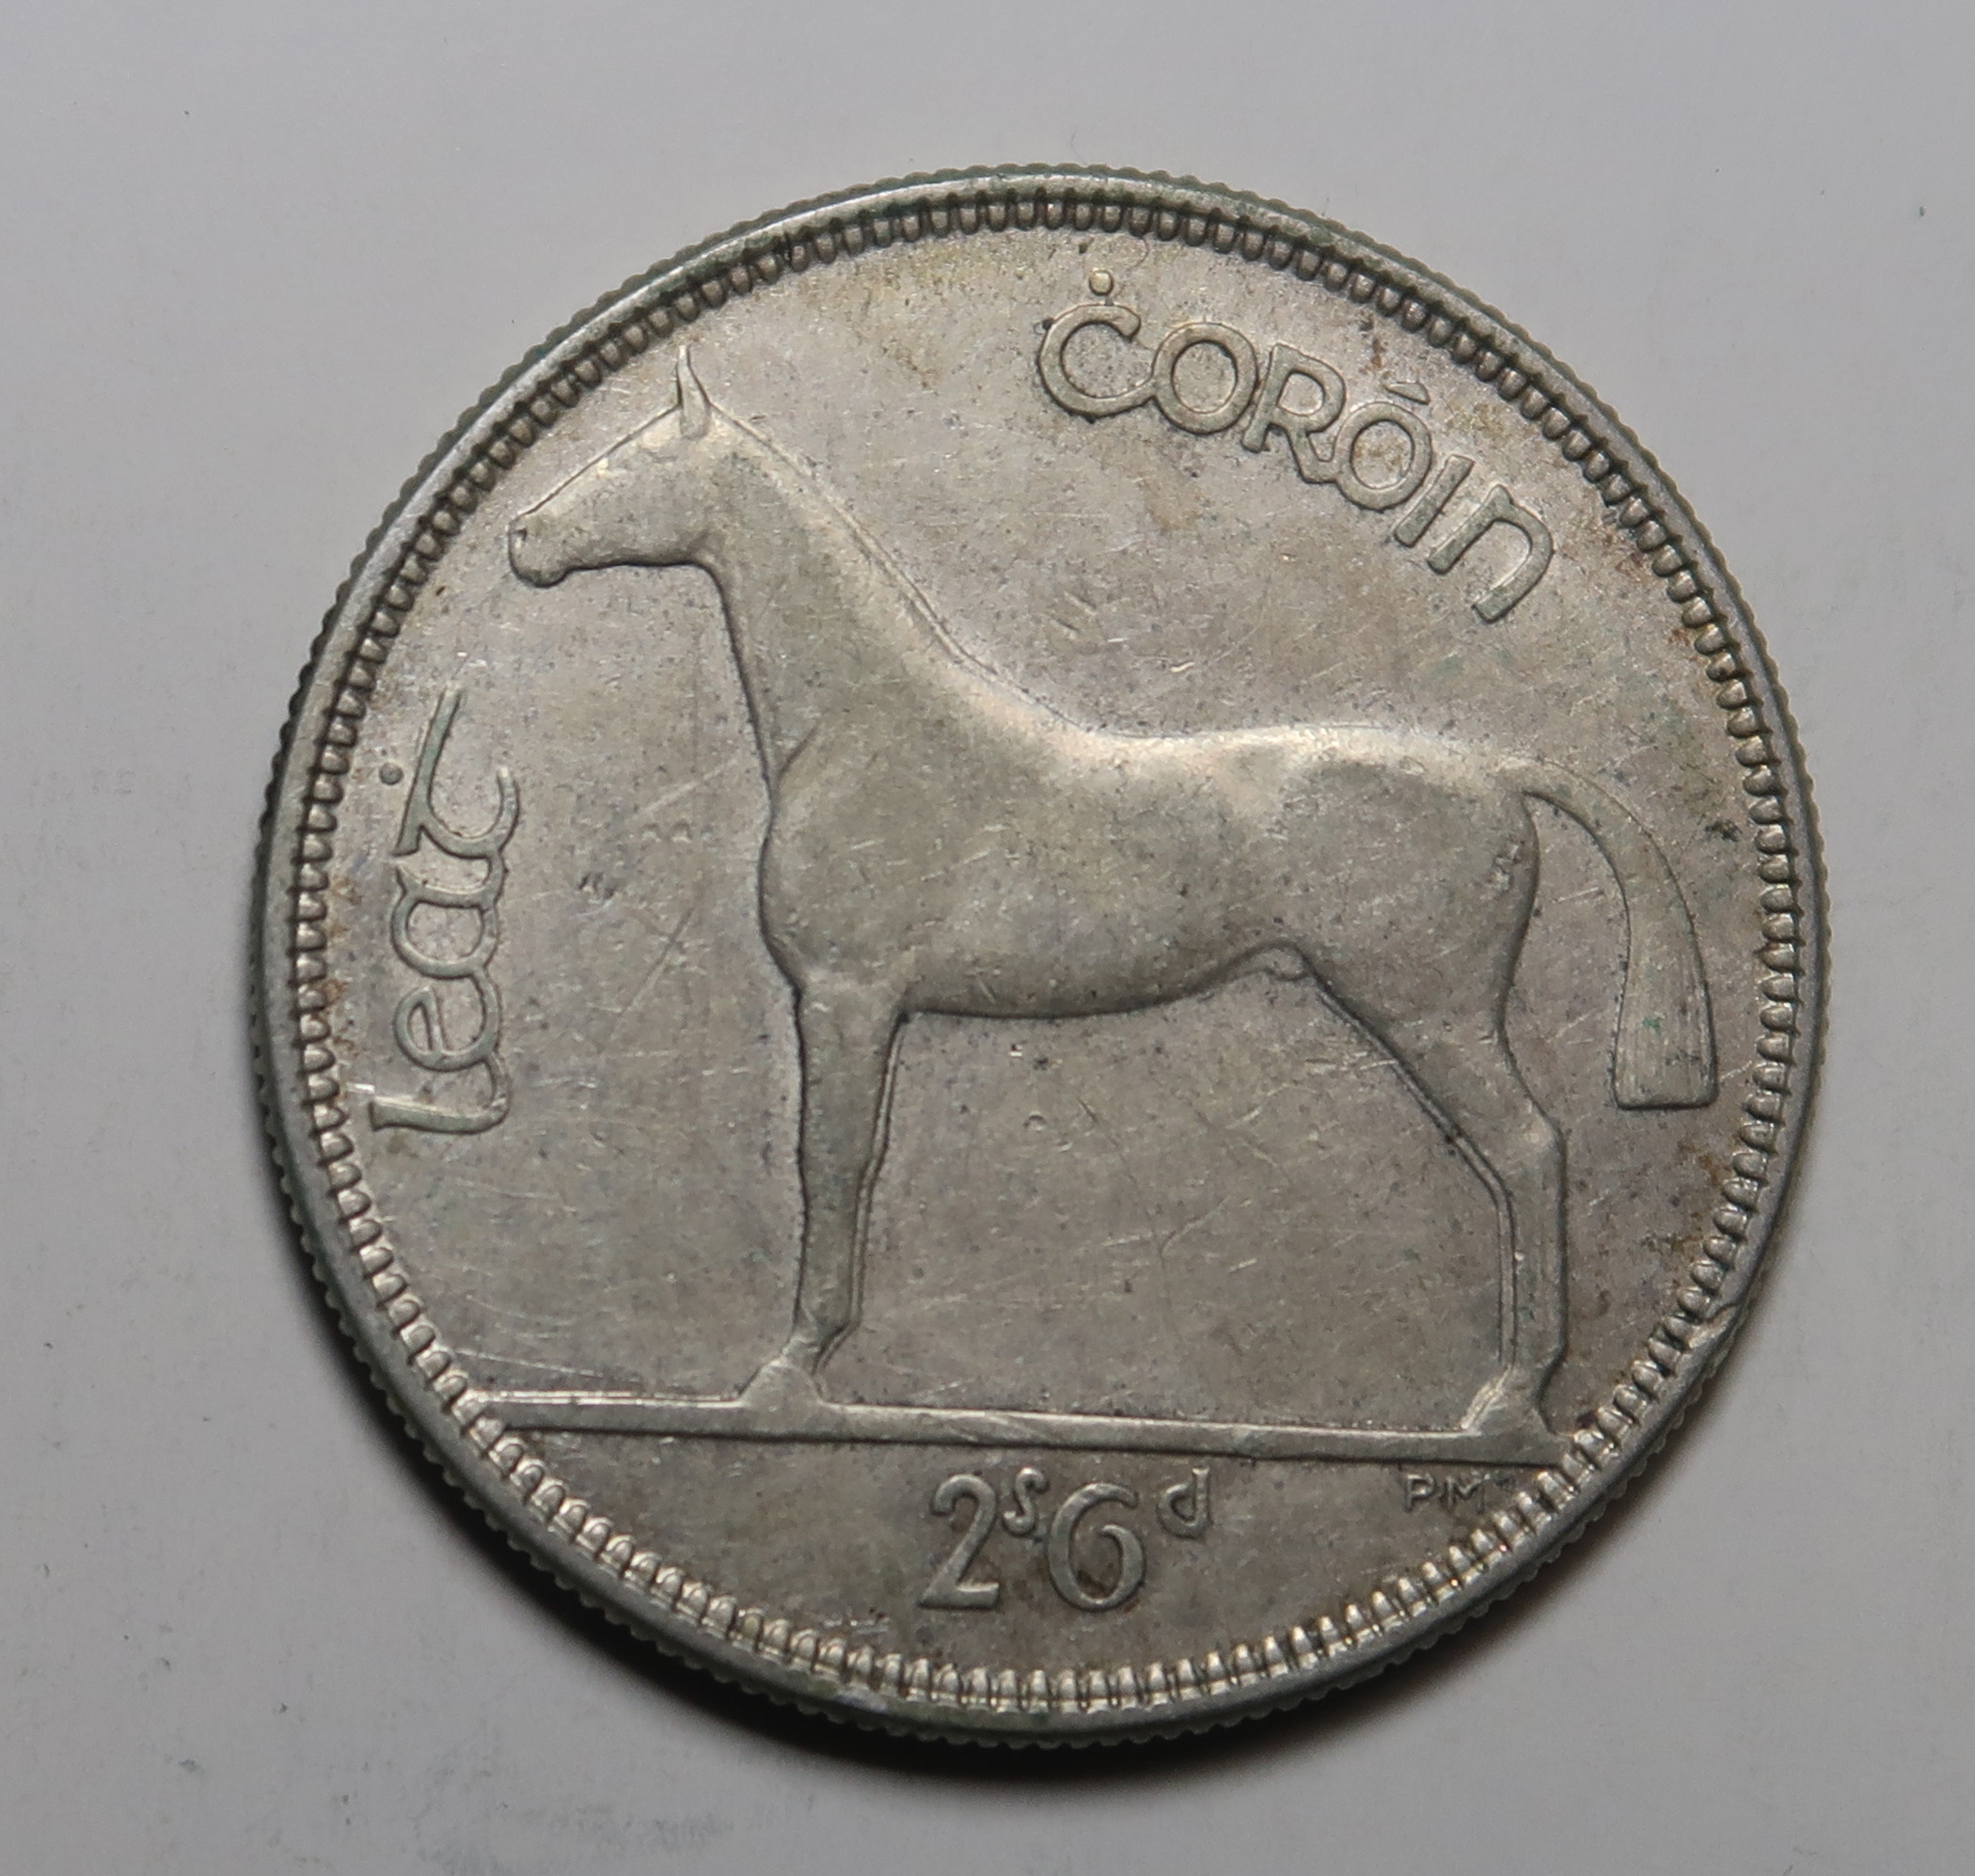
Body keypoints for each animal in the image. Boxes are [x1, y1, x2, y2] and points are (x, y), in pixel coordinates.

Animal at [507, 351, 1715, 1444]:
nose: (524, 538)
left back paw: (1506, 1402)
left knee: (1529, 1151)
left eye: (630, 457)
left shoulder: (846, 995)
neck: (862, 730)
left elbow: (832, 1162)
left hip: (1433, 1015)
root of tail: (1495, 773)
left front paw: (792, 1372)